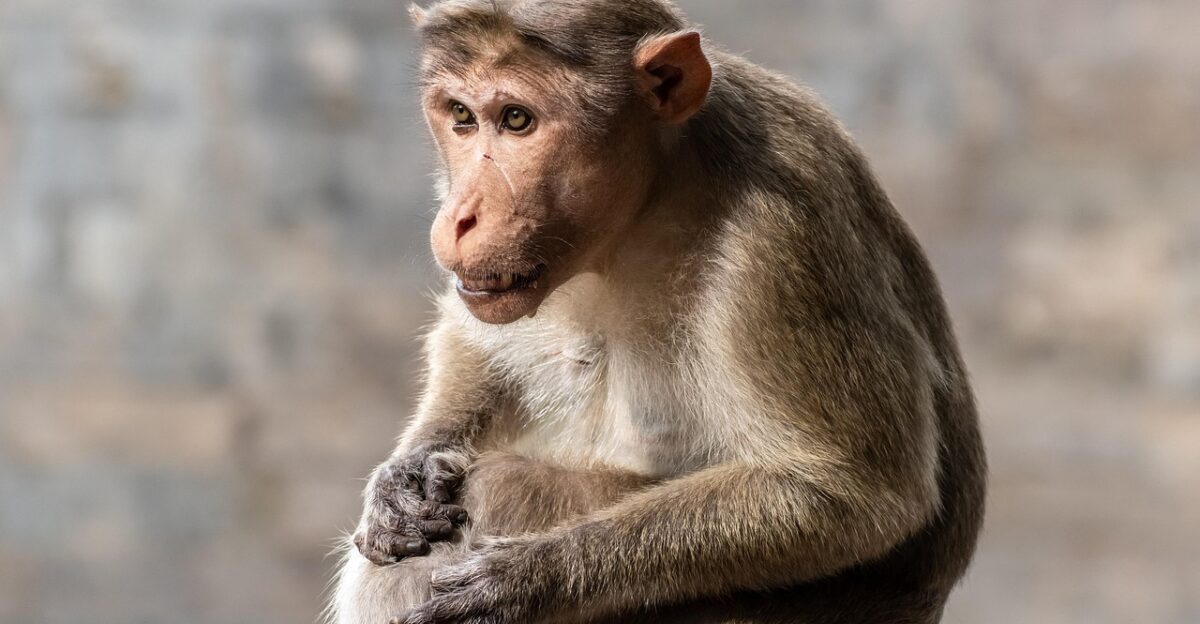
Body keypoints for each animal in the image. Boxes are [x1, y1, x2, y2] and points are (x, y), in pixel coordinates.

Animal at [329, 1, 986, 623]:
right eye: (461, 116)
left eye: (517, 119)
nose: (460, 216)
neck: (651, 200)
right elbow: (474, 340)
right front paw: (406, 473)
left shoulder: (784, 236)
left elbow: (857, 493)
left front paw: (532, 579)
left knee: (499, 487)